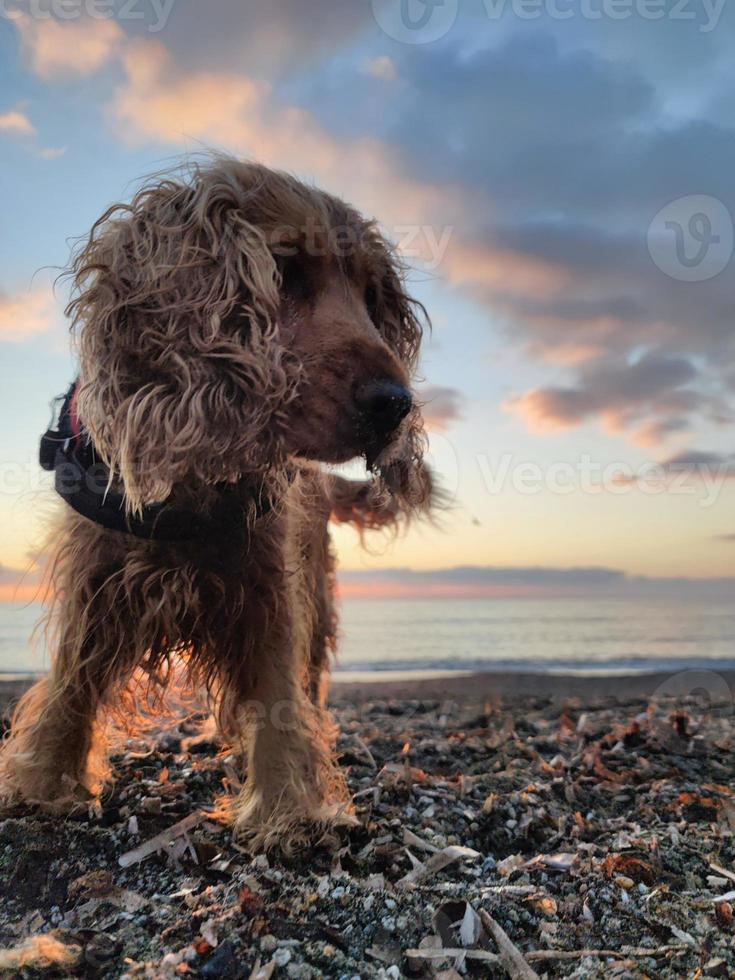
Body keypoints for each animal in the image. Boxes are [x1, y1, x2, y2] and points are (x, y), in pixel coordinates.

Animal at [0, 157, 434, 852]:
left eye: (372, 298)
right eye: (283, 270)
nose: (395, 404)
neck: (194, 482)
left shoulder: (270, 592)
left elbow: (280, 696)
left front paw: (290, 808)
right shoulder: (97, 583)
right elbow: (71, 686)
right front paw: (44, 783)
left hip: (316, 588)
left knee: (310, 676)